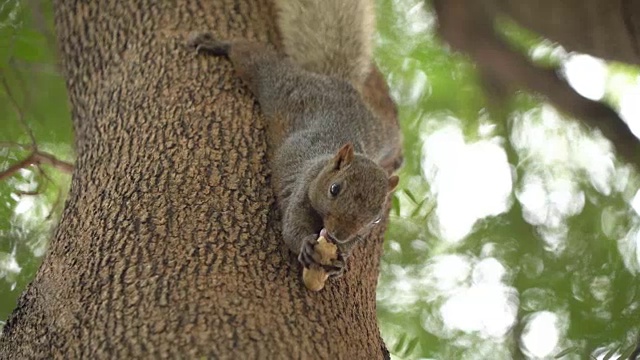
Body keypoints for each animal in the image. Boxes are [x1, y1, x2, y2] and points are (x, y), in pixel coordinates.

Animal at [189, 0, 400, 278]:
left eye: (376, 217)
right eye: (335, 189)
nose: (338, 234)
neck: (323, 167)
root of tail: (340, 84)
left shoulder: (358, 234)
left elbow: (351, 245)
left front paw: (341, 260)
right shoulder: (301, 187)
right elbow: (291, 229)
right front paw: (305, 245)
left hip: (382, 135)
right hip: (280, 83)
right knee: (253, 57)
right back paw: (217, 43)